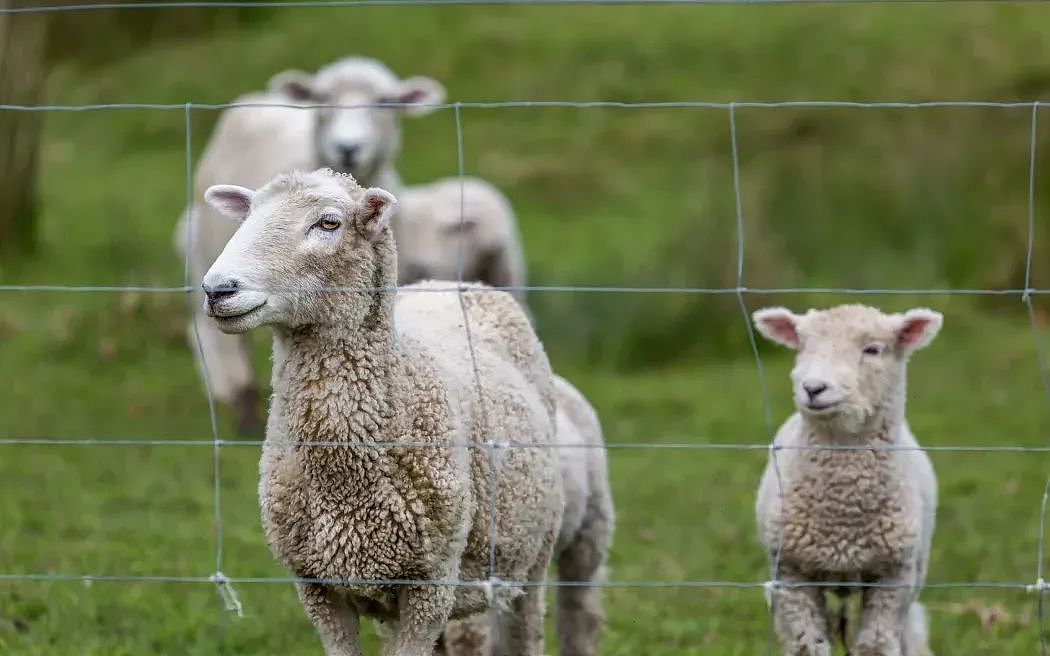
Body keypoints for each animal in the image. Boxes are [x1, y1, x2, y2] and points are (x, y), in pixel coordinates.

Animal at [751, 302, 940, 654]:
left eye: (873, 349)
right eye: (803, 346)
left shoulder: (894, 577)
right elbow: (807, 647)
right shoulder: (791, 575)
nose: (813, 388)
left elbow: (876, 646)